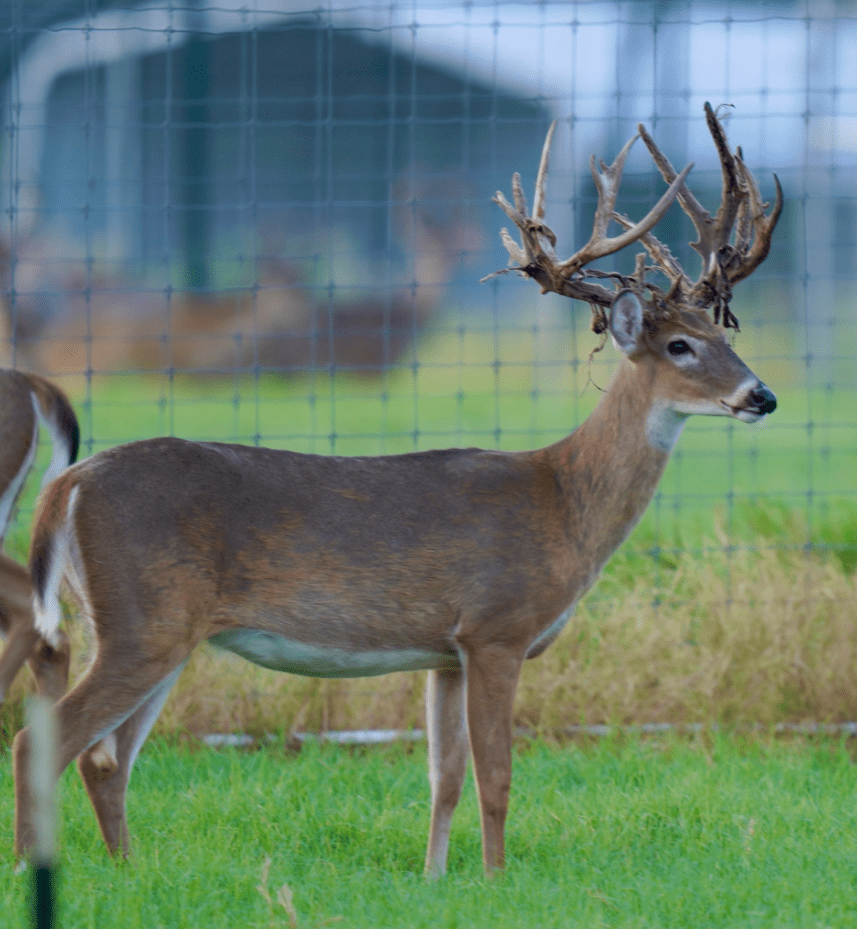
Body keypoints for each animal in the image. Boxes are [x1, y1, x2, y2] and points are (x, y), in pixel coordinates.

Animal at [13, 103, 781, 875]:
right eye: (679, 346)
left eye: (723, 334)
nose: (761, 395)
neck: (563, 501)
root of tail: (66, 486)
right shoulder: (496, 626)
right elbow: (496, 774)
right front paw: (496, 878)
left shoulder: (445, 651)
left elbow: (444, 776)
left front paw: (437, 876)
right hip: (144, 618)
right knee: (41, 740)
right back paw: (28, 866)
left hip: (152, 625)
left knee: (105, 758)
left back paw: (126, 868)